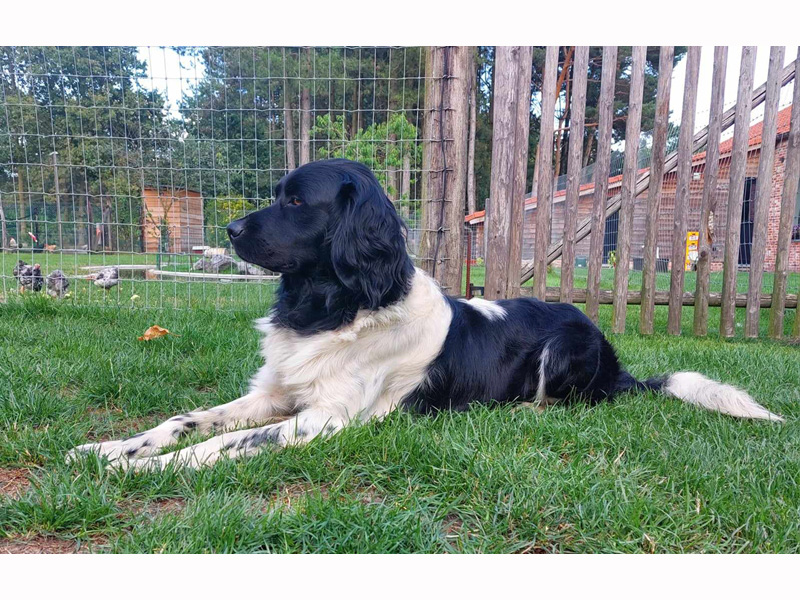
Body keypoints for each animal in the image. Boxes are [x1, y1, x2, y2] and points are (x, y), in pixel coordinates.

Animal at [67, 159, 783, 470]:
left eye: (298, 202)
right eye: (278, 194)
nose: (230, 229)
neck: (334, 304)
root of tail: (617, 363)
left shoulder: (325, 419)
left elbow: (225, 442)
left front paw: (149, 467)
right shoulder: (275, 395)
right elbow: (186, 421)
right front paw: (112, 447)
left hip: (565, 347)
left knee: (563, 403)